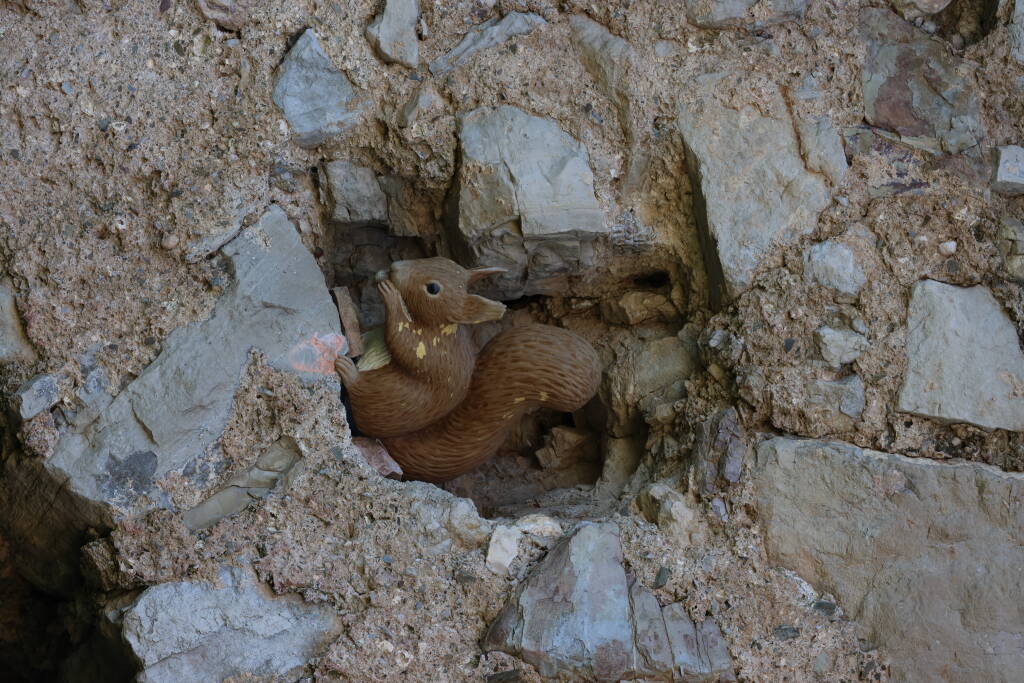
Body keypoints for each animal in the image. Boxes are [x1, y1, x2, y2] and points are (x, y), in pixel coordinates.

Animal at [335, 257, 602, 483]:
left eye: (433, 289)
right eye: (436, 258)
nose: (394, 267)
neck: (440, 327)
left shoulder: (432, 350)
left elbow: (403, 342)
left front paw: (390, 296)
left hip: (392, 398)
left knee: (365, 396)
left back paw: (349, 371)